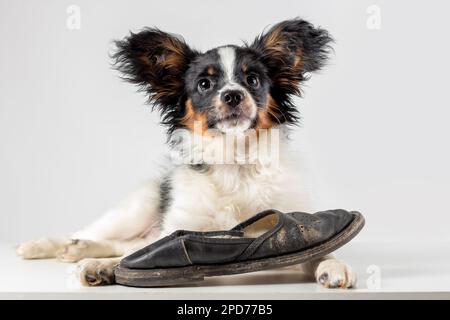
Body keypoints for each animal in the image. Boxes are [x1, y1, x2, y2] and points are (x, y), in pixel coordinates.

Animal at [16, 18, 356, 288]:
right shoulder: (178, 224)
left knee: (121, 243)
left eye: (253, 80)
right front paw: (104, 268)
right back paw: (48, 246)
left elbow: (319, 250)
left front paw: (333, 266)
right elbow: (139, 255)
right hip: (135, 208)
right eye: (204, 84)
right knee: (101, 235)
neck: (235, 160)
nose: (233, 95)